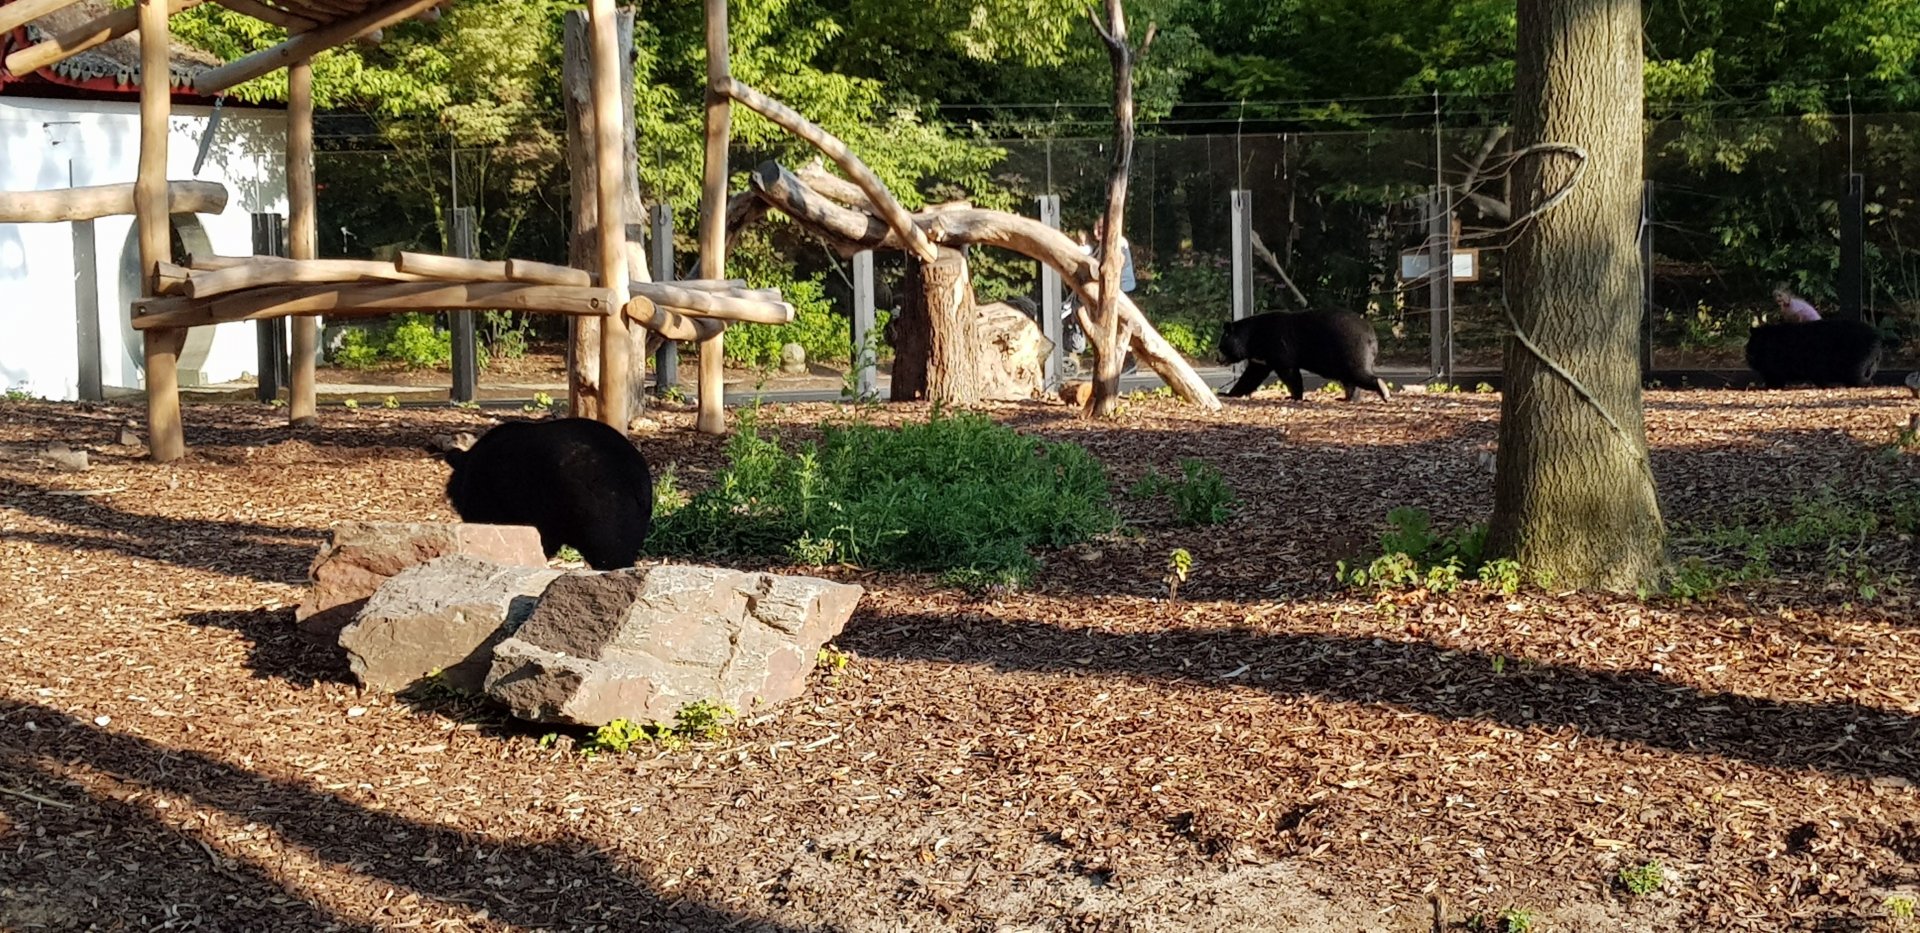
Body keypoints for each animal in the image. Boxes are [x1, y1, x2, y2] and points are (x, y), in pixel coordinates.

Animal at [1216, 309, 1392, 401]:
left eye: (1221, 347)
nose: (1218, 359)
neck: (1253, 338)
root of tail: (1372, 334)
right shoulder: (1260, 359)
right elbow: (1251, 376)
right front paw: (1227, 393)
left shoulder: (1277, 346)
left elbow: (1289, 372)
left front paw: (1295, 396)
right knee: (1350, 379)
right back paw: (1347, 398)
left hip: (1350, 349)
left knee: (1358, 374)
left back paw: (1383, 390)